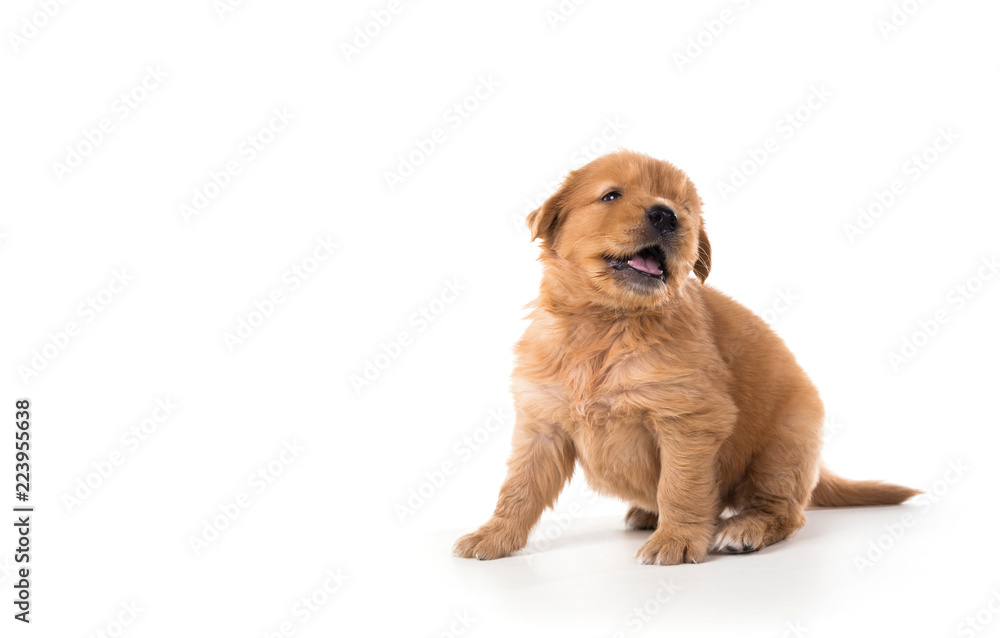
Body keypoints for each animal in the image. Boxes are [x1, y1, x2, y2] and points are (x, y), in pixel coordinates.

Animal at [458, 152, 916, 568]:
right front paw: (493, 536)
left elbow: (681, 486)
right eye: (611, 195)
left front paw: (675, 540)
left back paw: (743, 529)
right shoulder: (542, 424)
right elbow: (518, 488)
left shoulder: (689, 419)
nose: (666, 215)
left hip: (783, 448)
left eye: (686, 209)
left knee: (785, 511)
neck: (606, 324)